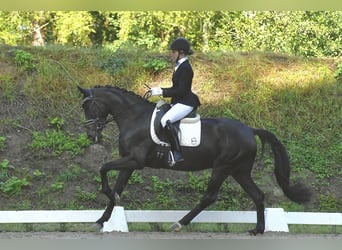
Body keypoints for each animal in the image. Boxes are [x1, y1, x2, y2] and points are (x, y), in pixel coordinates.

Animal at [78, 85, 312, 234]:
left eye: (89, 107)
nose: (90, 135)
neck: (134, 117)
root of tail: (249, 130)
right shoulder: (129, 162)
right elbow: (117, 185)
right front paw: (101, 221)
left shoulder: (135, 161)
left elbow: (103, 167)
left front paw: (107, 198)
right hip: (239, 170)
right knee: (258, 195)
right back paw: (258, 230)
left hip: (223, 167)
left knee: (209, 197)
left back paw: (179, 223)